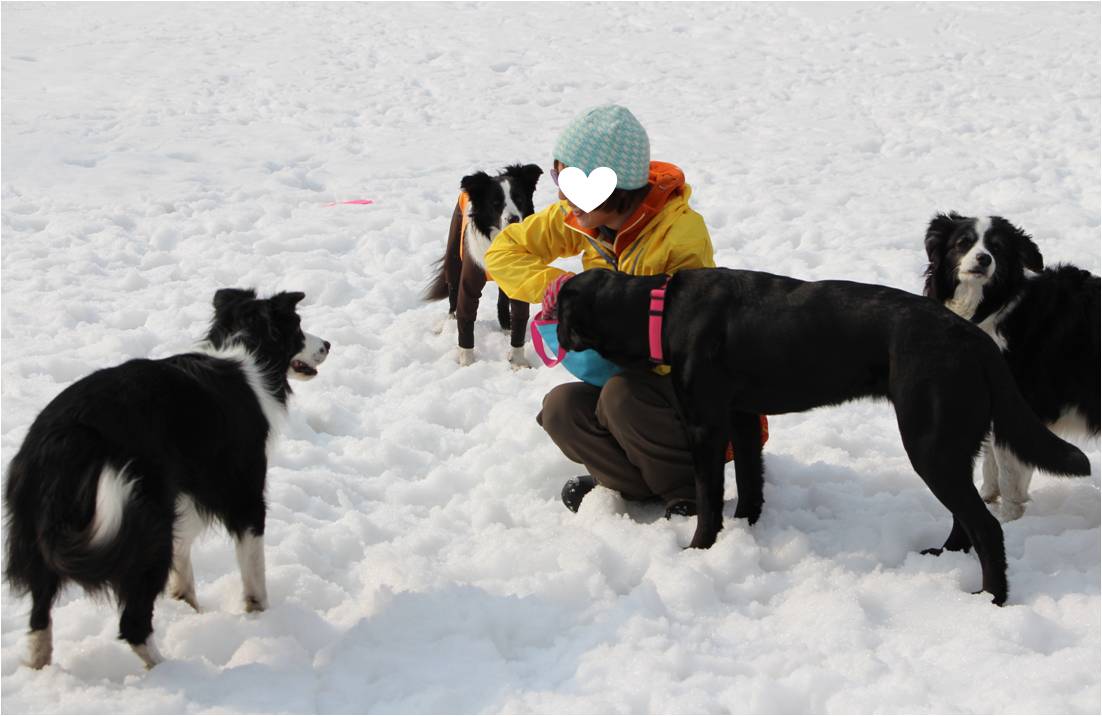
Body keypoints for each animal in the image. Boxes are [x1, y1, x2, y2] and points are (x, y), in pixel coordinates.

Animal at [5, 286, 330, 665]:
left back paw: (39, 663)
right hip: (143, 522)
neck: (246, 347)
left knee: (39, 615)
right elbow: (254, 570)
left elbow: (184, 552)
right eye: (297, 325)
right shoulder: (244, 494)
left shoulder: (184, 494)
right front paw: (262, 617)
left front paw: (187, 605)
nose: (327, 344)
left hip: (40, 534)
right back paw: (169, 668)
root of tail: (62, 439)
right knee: (132, 623)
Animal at [555, 267, 1088, 603]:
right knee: (966, 516)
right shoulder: (742, 418)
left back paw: (990, 598)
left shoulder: (706, 424)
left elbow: (709, 498)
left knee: (987, 525)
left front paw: (699, 549)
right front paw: (746, 534)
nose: (552, 330)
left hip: (928, 441)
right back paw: (945, 557)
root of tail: (977, 340)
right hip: (949, 442)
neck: (658, 310)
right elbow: (750, 484)